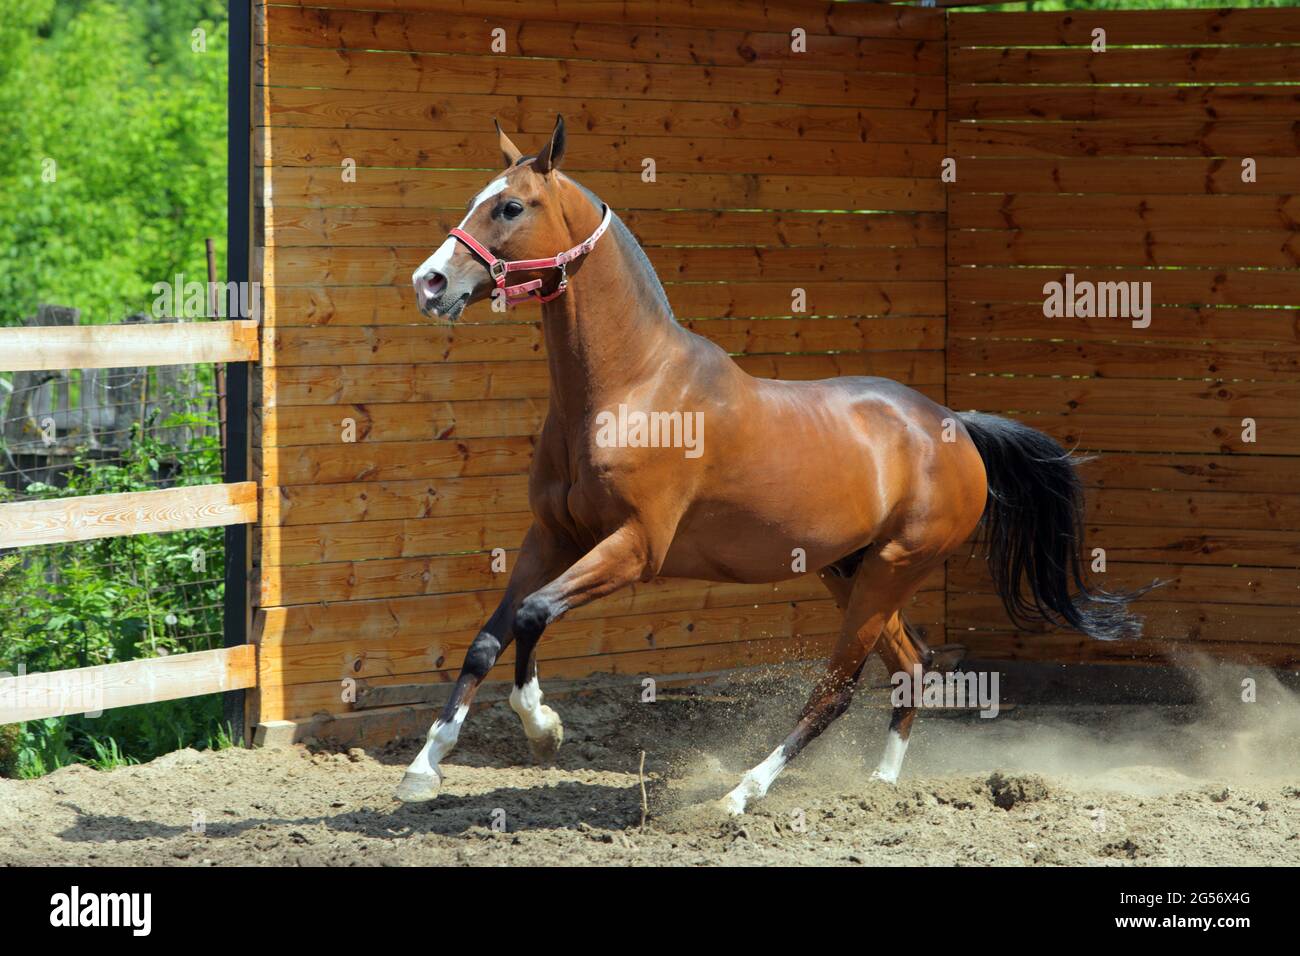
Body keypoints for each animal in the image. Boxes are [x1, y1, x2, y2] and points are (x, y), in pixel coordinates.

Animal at [397, 113, 1149, 816]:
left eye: (510, 207)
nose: (429, 283)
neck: (629, 386)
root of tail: (956, 427)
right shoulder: (552, 535)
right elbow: (487, 639)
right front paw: (423, 770)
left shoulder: (636, 548)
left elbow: (530, 615)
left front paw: (544, 729)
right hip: (849, 570)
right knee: (911, 663)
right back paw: (881, 786)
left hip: (893, 568)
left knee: (838, 689)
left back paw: (742, 792)